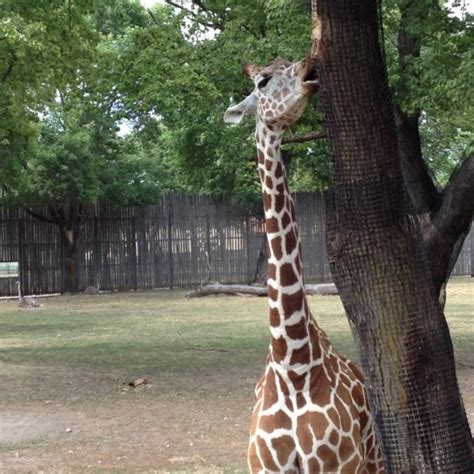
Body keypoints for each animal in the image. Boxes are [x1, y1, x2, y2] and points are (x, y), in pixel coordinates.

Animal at [223, 59, 386, 474]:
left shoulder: (336, 465)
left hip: (371, 457)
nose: (310, 69)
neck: (292, 363)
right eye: (262, 81)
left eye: (285, 62)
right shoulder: (264, 466)